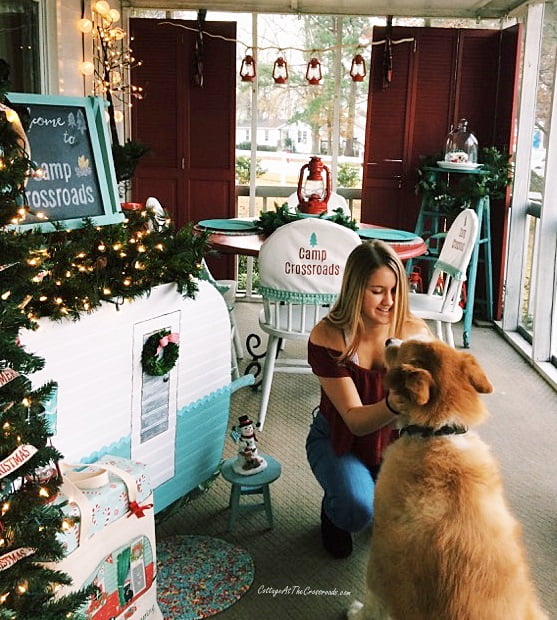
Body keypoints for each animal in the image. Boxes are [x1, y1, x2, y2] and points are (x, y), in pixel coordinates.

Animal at [348, 340, 548, 620]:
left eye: (402, 350)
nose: (389, 341)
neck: (439, 433)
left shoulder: (381, 559)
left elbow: (371, 601)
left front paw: (355, 612)